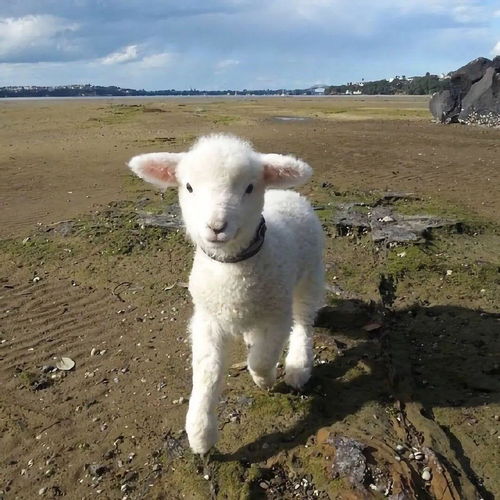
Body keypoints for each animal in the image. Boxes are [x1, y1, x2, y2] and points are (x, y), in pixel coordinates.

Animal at [128, 135, 324, 456]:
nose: (216, 227)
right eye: (189, 187)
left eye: (249, 187)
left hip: (310, 276)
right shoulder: (207, 320)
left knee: (303, 322)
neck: (232, 268)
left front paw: (265, 379)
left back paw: (298, 366)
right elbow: (207, 372)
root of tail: (289, 195)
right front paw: (201, 433)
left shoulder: (276, 314)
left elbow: (262, 359)